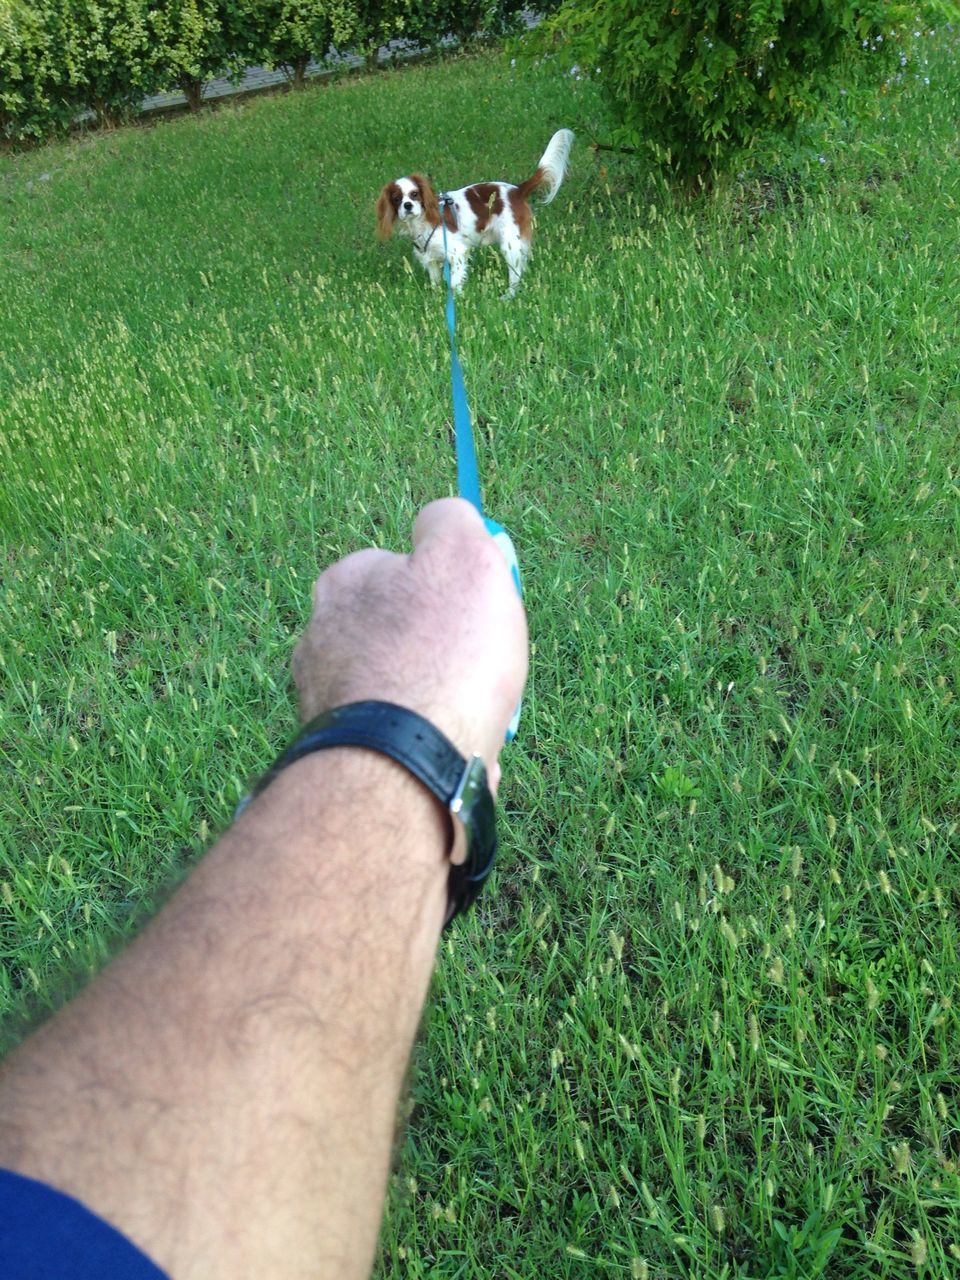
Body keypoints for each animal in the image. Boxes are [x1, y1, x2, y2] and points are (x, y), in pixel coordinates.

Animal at [373, 130, 570, 299]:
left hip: (509, 244)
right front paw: (436, 301)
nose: (407, 205)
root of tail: (517, 190)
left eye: (415, 194)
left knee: (515, 274)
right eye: (397, 199)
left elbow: (454, 283)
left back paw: (508, 296)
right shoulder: (431, 260)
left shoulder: (457, 253)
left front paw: (458, 300)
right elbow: (435, 284)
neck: (421, 222)